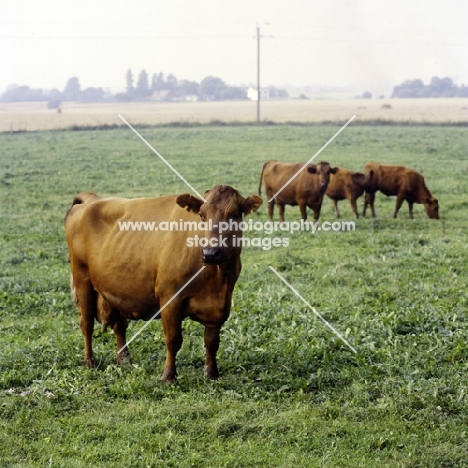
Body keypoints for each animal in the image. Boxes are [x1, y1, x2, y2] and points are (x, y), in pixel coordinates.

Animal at [65, 185, 264, 382]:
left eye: (235, 215)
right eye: (201, 215)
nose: (210, 253)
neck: (216, 279)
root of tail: (93, 200)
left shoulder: (219, 306)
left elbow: (212, 342)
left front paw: (211, 373)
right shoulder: (170, 299)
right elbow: (173, 340)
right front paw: (168, 376)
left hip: (115, 289)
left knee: (119, 325)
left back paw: (124, 359)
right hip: (82, 279)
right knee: (86, 323)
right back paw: (89, 361)